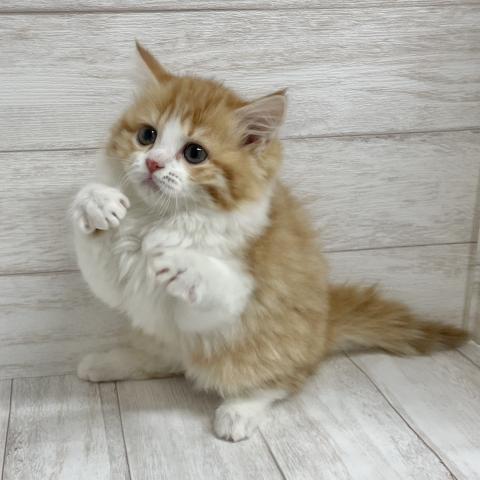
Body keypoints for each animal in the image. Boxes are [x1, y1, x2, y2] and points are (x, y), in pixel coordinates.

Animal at [72, 42, 468, 442]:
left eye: (195, 153)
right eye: (147, 136)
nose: (153, 163)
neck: (163, 217)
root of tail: (324, 327)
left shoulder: (229, 302)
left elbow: (219, 287)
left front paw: (184, 262)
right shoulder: (121, 284)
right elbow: (99, 265)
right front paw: (95, 202)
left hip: (265, 345)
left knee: (284, 380)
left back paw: (239, 411)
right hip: (157, 334)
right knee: (164, 358)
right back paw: (111, 362)